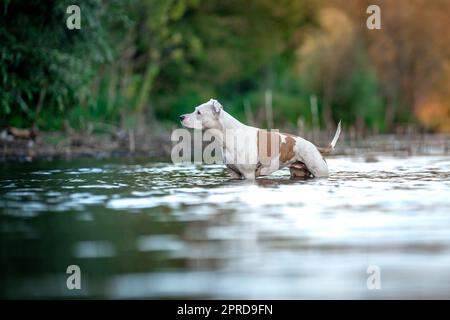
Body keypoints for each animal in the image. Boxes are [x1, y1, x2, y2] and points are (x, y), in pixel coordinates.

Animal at [179, 99, 342, 180]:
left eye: (199, 112)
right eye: (195, 109)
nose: (181, 117)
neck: (228, 136)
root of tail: (315, 147)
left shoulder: (248, 175)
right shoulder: (234, 174)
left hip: (320, 172)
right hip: (299, 172)